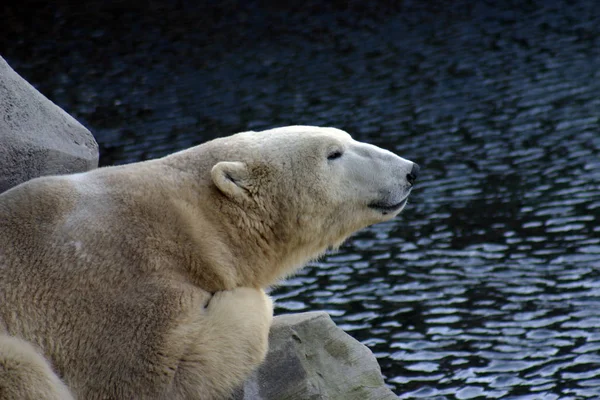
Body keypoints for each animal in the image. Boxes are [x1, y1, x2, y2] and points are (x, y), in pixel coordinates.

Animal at [0, 124, 418, 396]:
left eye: (346, 138)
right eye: (333, 153)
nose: (410, 169)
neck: (188, 219)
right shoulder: (110, 285)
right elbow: (165, 371)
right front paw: (251, 298)